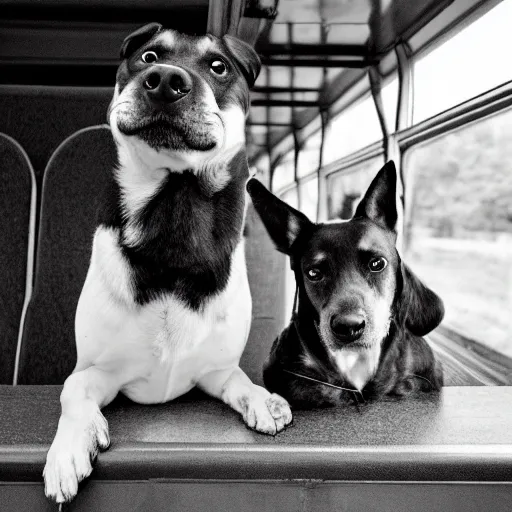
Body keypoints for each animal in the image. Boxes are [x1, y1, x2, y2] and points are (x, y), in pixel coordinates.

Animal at [42, 24, 292, 504]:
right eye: (148, 56)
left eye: (219, 66)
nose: (164, 81)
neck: (176, 207)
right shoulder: (101, 372)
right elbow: (72, 390)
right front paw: (68, 448)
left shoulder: (215, 372)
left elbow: (240, 381)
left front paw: (262, 398)